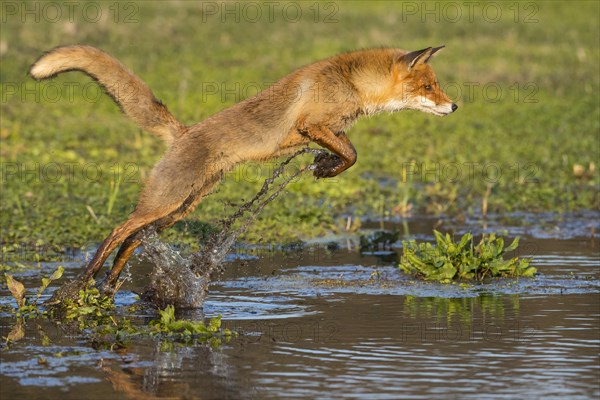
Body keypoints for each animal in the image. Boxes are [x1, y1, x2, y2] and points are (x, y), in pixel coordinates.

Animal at [30, 45, 458, 296]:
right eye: (429, 87)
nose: (455, 107)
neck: (352, 82)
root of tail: (182, 132)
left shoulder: (327, 130)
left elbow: (349, 153)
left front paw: (325, 165)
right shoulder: (311, 125)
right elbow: (352, 155)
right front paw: (327, 168)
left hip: (180, 208)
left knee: (134, 238)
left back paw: (110, 285)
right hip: (165, 202)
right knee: (118, 231)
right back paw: (82, 283)